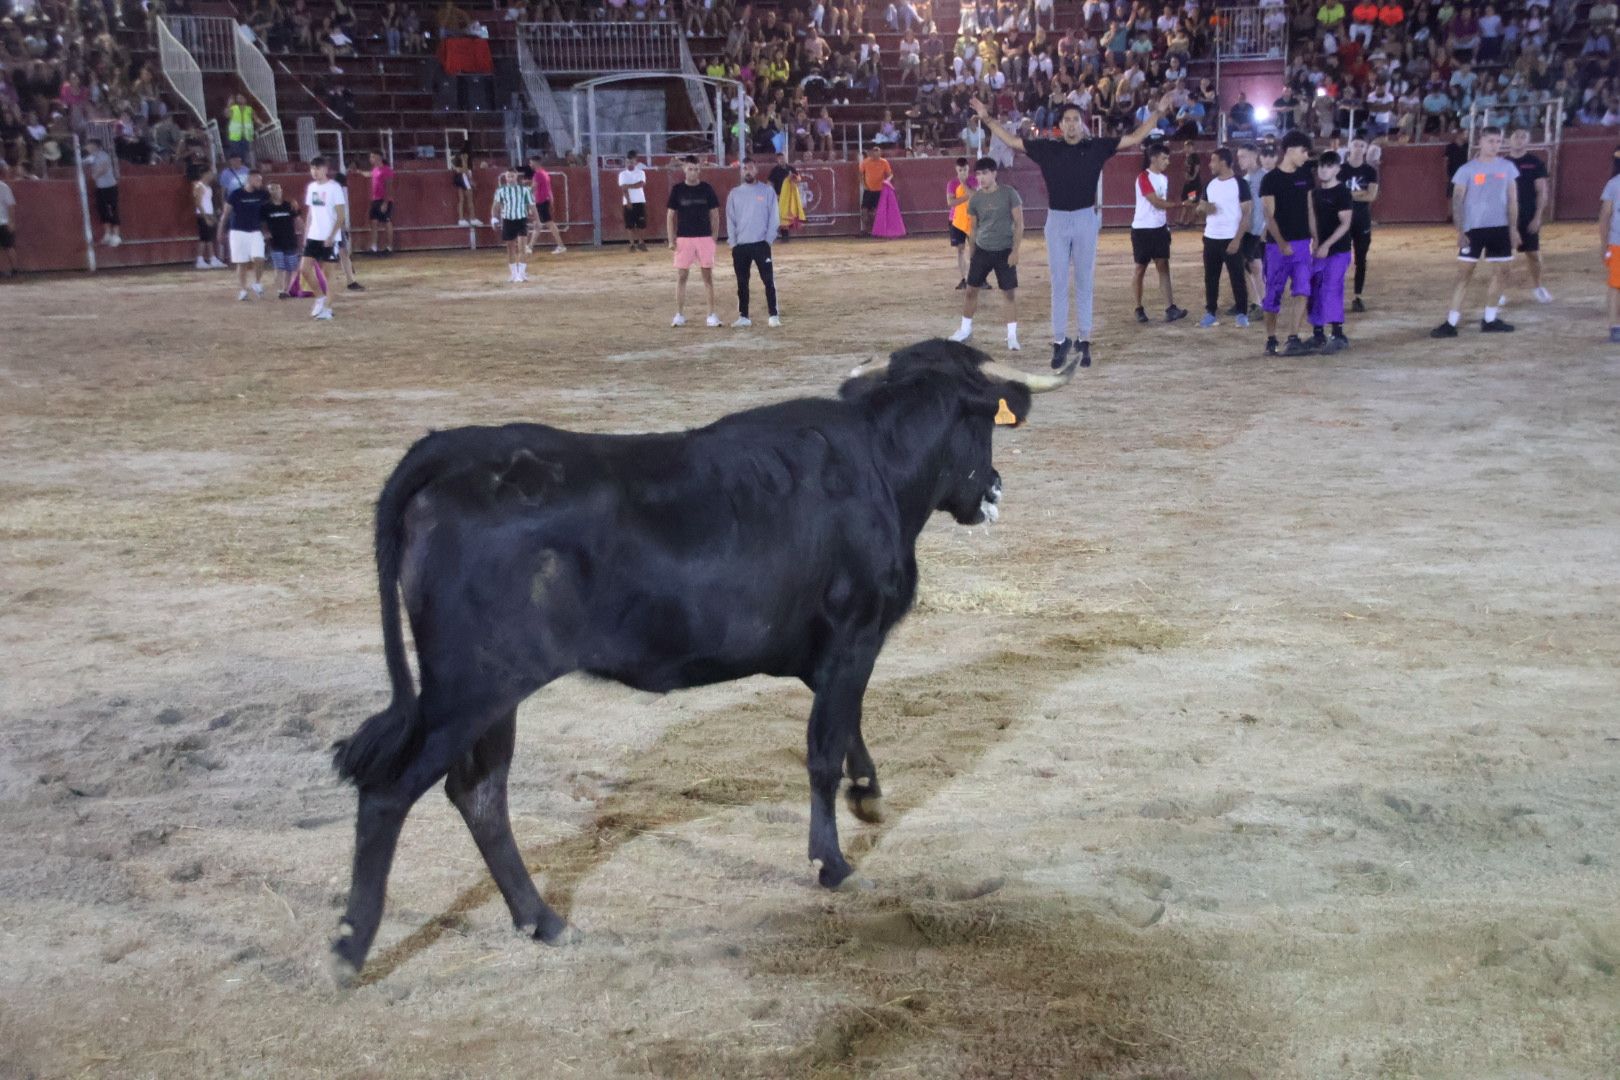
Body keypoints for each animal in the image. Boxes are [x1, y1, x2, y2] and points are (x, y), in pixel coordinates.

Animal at [325, 341, 1075, 984]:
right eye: (984, 429)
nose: (995, 490)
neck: (880, 469)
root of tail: (453, 448)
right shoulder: (855, 635)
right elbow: (823, 748)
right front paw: (832, 863)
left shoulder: (830, 655)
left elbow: (848, 730)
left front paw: (868, 794)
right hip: (468, 688)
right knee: (393, 791)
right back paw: (351, 947)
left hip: (493, 695)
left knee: (480, 793)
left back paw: (543, 921)